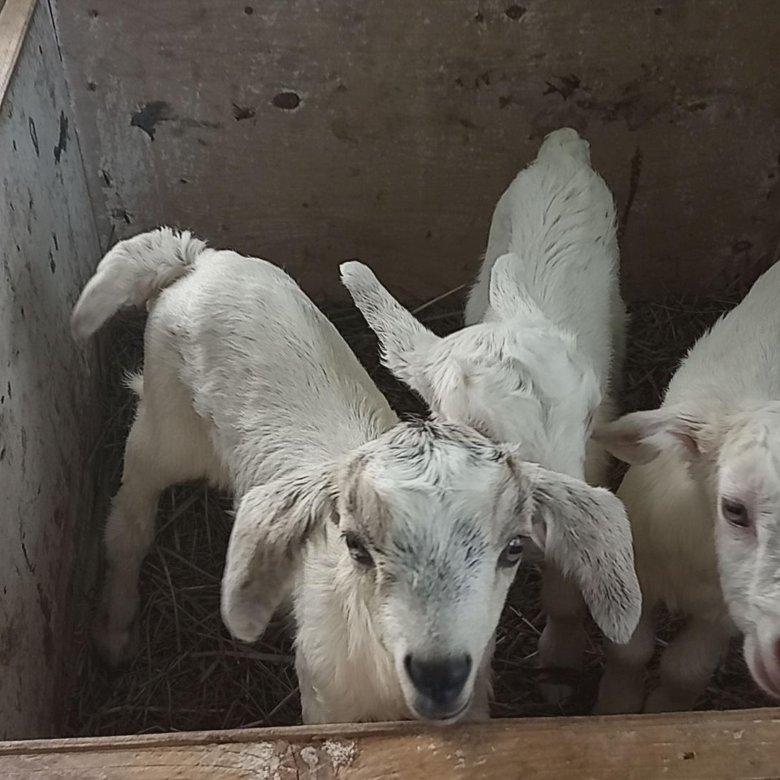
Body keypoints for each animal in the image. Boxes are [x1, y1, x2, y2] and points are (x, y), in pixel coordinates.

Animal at [594, 259, 780, 712]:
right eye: (734, 509)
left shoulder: (724, 614)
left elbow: (685, 670)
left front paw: (660, 710)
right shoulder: (637, 571)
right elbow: (629, 651)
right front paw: (615, 705)